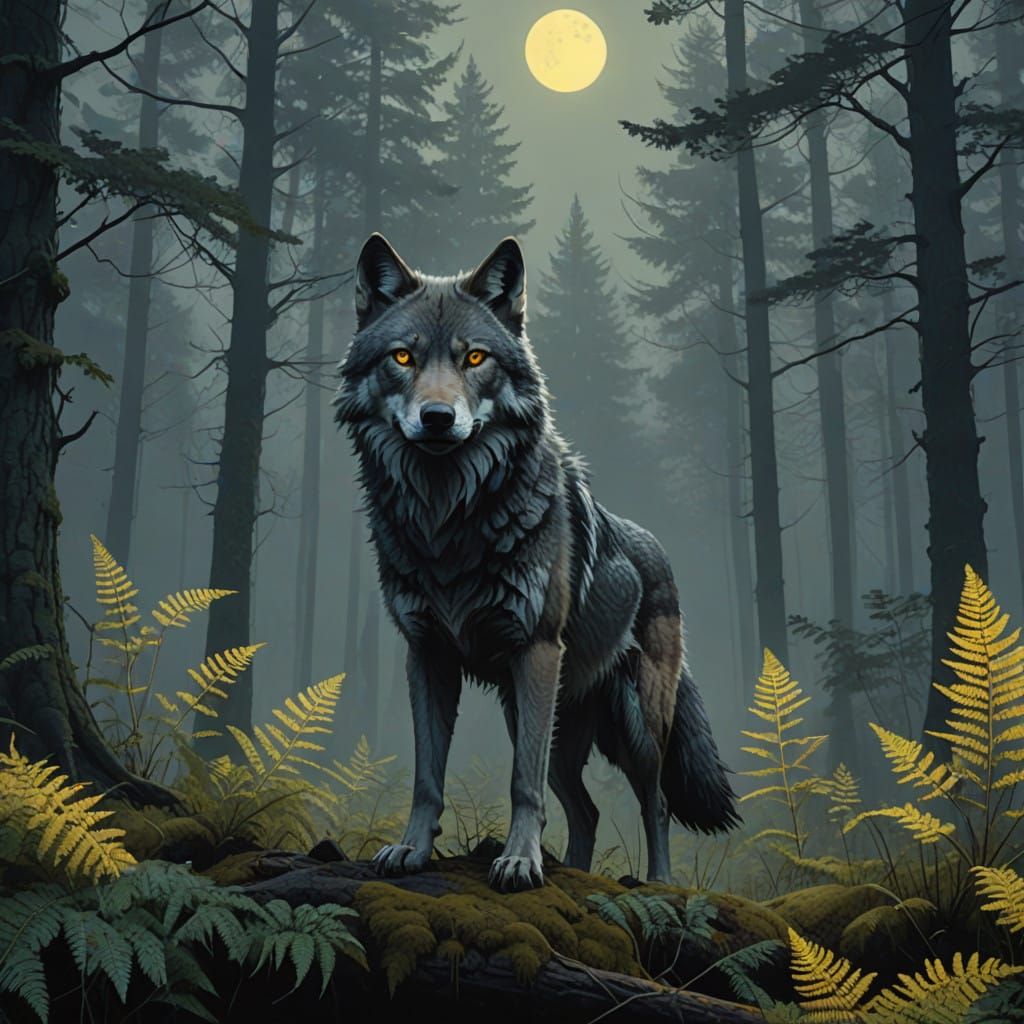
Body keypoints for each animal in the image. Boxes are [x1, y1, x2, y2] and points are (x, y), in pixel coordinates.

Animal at [334, 233, 739, 892]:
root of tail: (659, 554)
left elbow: (521, 783)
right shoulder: (427, 656)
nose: (438, 418)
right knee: (587, 808)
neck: (450, 522)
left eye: (475, 359)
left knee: (653, 803)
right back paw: (574, 873)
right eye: (403, 358)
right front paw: (412, 851)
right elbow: (427, 776)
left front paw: (520, 862)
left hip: (631, 725)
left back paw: (656, 883)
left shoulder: (537, 652)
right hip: (547, 721)